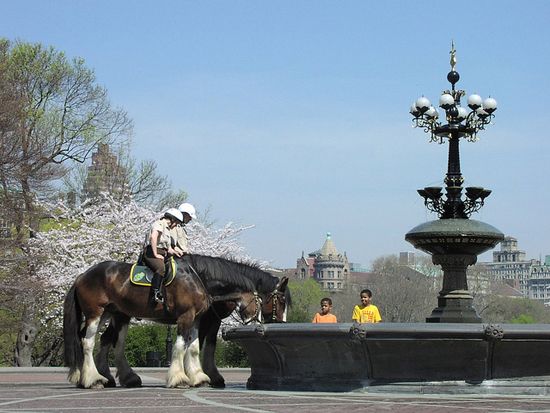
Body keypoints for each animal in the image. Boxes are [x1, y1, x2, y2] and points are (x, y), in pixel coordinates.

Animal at [64, 253, 264, 388]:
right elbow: (180, 346)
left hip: (112, 313)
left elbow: (193, 348)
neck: (197, 277)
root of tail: (82, 276)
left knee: (102, 340)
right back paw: (93, 379)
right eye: (260, 300)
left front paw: (198, 377)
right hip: (95, 313)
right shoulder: (186, 317)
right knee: (88, 342)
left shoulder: (196, 319)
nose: (259, 323)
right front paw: (179, 378)